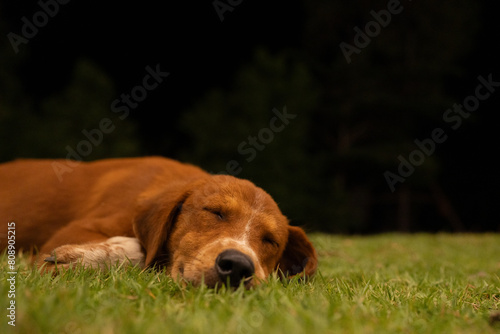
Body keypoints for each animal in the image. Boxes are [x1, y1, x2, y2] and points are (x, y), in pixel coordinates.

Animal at [0, 157, 316, 288]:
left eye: (271, 241)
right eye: (215, 212)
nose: (238, 266)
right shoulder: (70, 232)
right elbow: (140, 251)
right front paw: (92, 257)